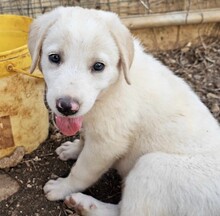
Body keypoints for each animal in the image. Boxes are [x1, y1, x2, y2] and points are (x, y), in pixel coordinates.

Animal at [29, 6, 220, 216]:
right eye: (54, 57)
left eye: (98, 66)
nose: (66, 106)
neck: (113, 86)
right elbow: (84, 138)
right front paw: (73, 149)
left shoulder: (107, 144)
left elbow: (81, 171)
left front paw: (62, 187)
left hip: (151, 165)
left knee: (126, 212)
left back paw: (84, 203)